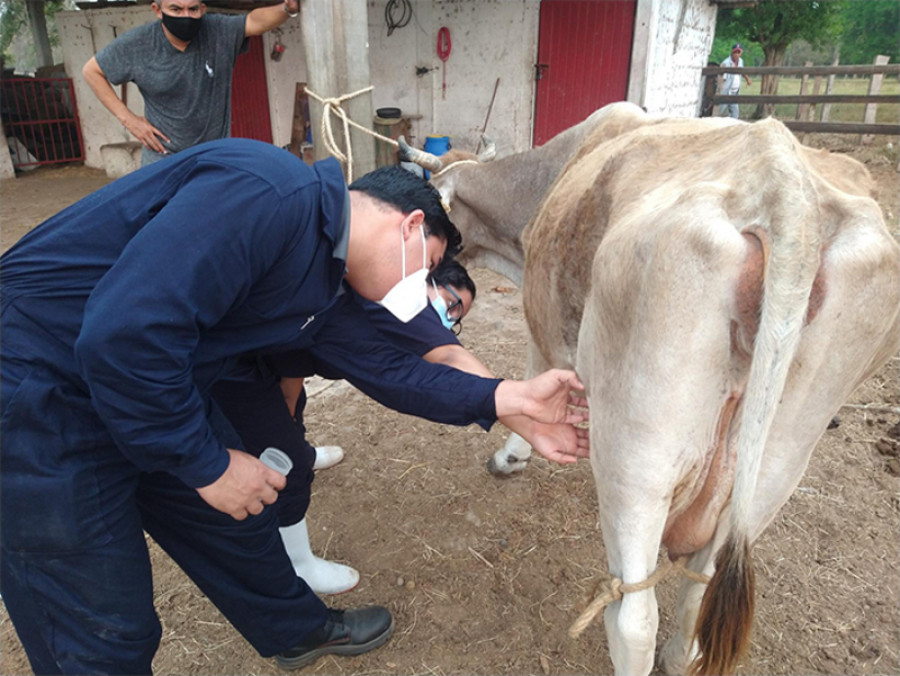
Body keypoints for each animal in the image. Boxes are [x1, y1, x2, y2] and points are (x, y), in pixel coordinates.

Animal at [402, 101, 900, 676]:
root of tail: (782, 181)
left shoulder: (543, 316)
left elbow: (531, 373)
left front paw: (511, 456)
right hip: (778, 460)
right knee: (700, 599)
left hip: (638, 454)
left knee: (632, 619)